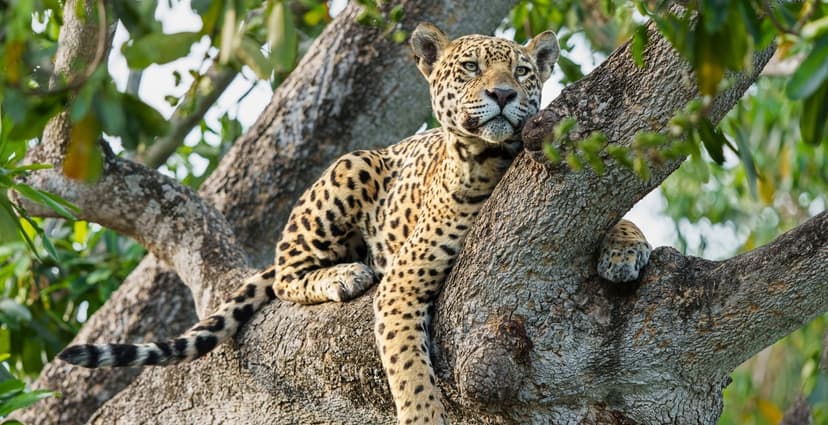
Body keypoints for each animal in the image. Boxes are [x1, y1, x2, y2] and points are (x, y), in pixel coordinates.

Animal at [59, 23, 651, 424]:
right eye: (470, 68)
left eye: (523, 72)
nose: (503, 94)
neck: (496, 162)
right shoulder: (403, 283)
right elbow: (410, 373)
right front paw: (424, 416)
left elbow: (621, 215)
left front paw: (624, 249)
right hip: (350, 166)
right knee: (287, 272)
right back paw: (344, 274)